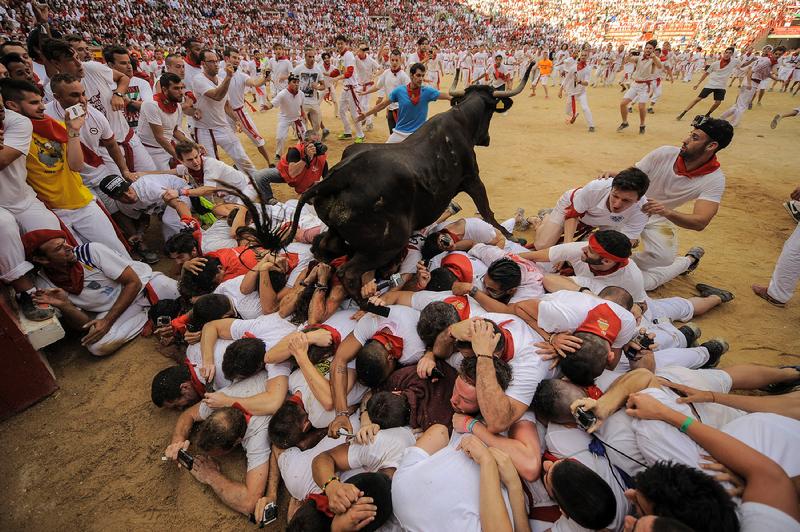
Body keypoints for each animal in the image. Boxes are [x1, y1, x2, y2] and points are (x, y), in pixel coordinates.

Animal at [278, 61, 536, 302]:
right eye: (491, 110)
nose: (486, 139)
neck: (461, 121)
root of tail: (338, 177)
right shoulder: (472, 179)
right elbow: (487, 210)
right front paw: (511, 235)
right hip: (386, 244)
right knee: (348, 272)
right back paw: (369, 303)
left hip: (337, 232)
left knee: (323, 250)